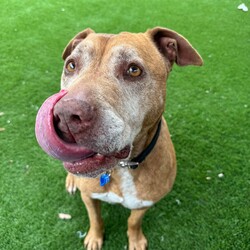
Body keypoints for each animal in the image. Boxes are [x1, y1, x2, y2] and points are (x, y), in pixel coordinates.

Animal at [35, 26, 203, 249]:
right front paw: (94, 238)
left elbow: (133, 221)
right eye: (71, 65)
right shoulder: (89, 196)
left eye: (134, 70)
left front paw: (135, 240)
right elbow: (95, 218)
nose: (65, 115)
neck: (122, 168)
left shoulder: (144, 203)